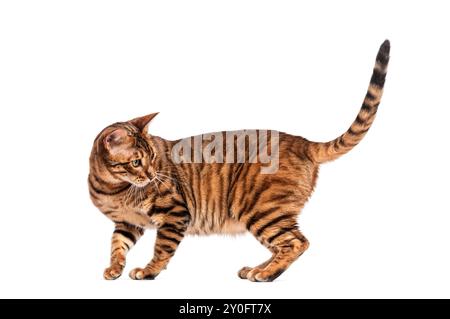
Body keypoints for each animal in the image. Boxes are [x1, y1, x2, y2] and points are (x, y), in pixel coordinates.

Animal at [89, 40, 390, 282]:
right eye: (137, 162)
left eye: (151, 158)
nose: (152, 175)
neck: (113, 188)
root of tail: (302, 142)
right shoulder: (128, 223)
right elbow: (116, 246)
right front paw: (114, 268)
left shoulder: (174, 213)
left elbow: (162, 248)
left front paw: (148, 271)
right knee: (287, 243)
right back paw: (258, 269)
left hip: (262, 208)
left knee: (296, 243)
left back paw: (266, 274)